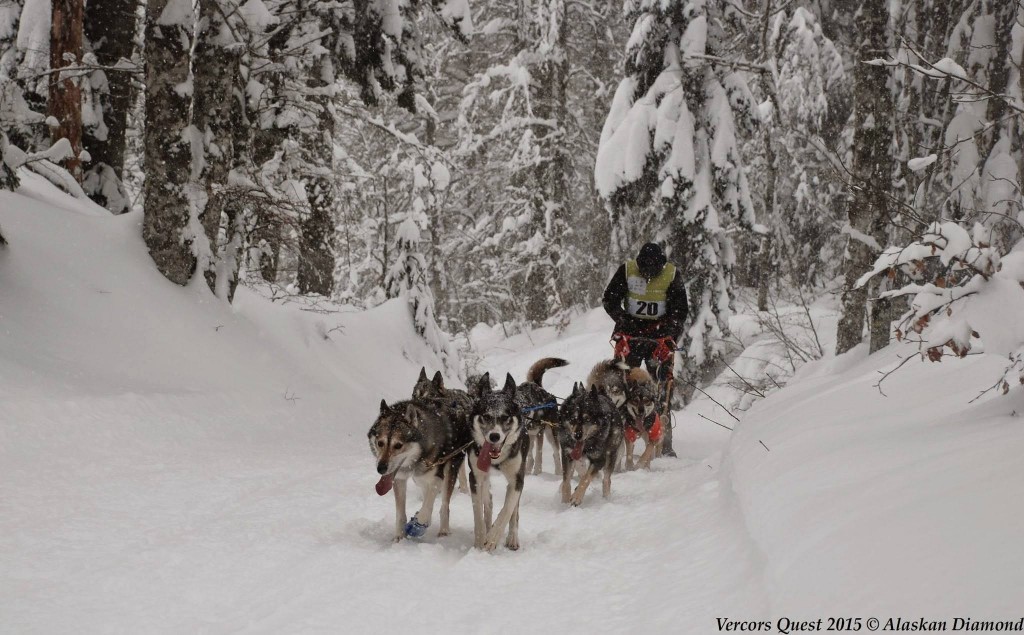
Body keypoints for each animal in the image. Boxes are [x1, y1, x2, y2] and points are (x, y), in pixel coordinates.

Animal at [366, 397, 468, 540]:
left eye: (398, 445)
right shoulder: (399, 479)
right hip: (420, 478)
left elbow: (426, 509)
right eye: (380, 443)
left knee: (444, 504)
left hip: (450, 468)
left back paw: (443, 530)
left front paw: (417, 525)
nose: (381, 468)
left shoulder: (436, 478)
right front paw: (399, 537)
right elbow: (400, 513)